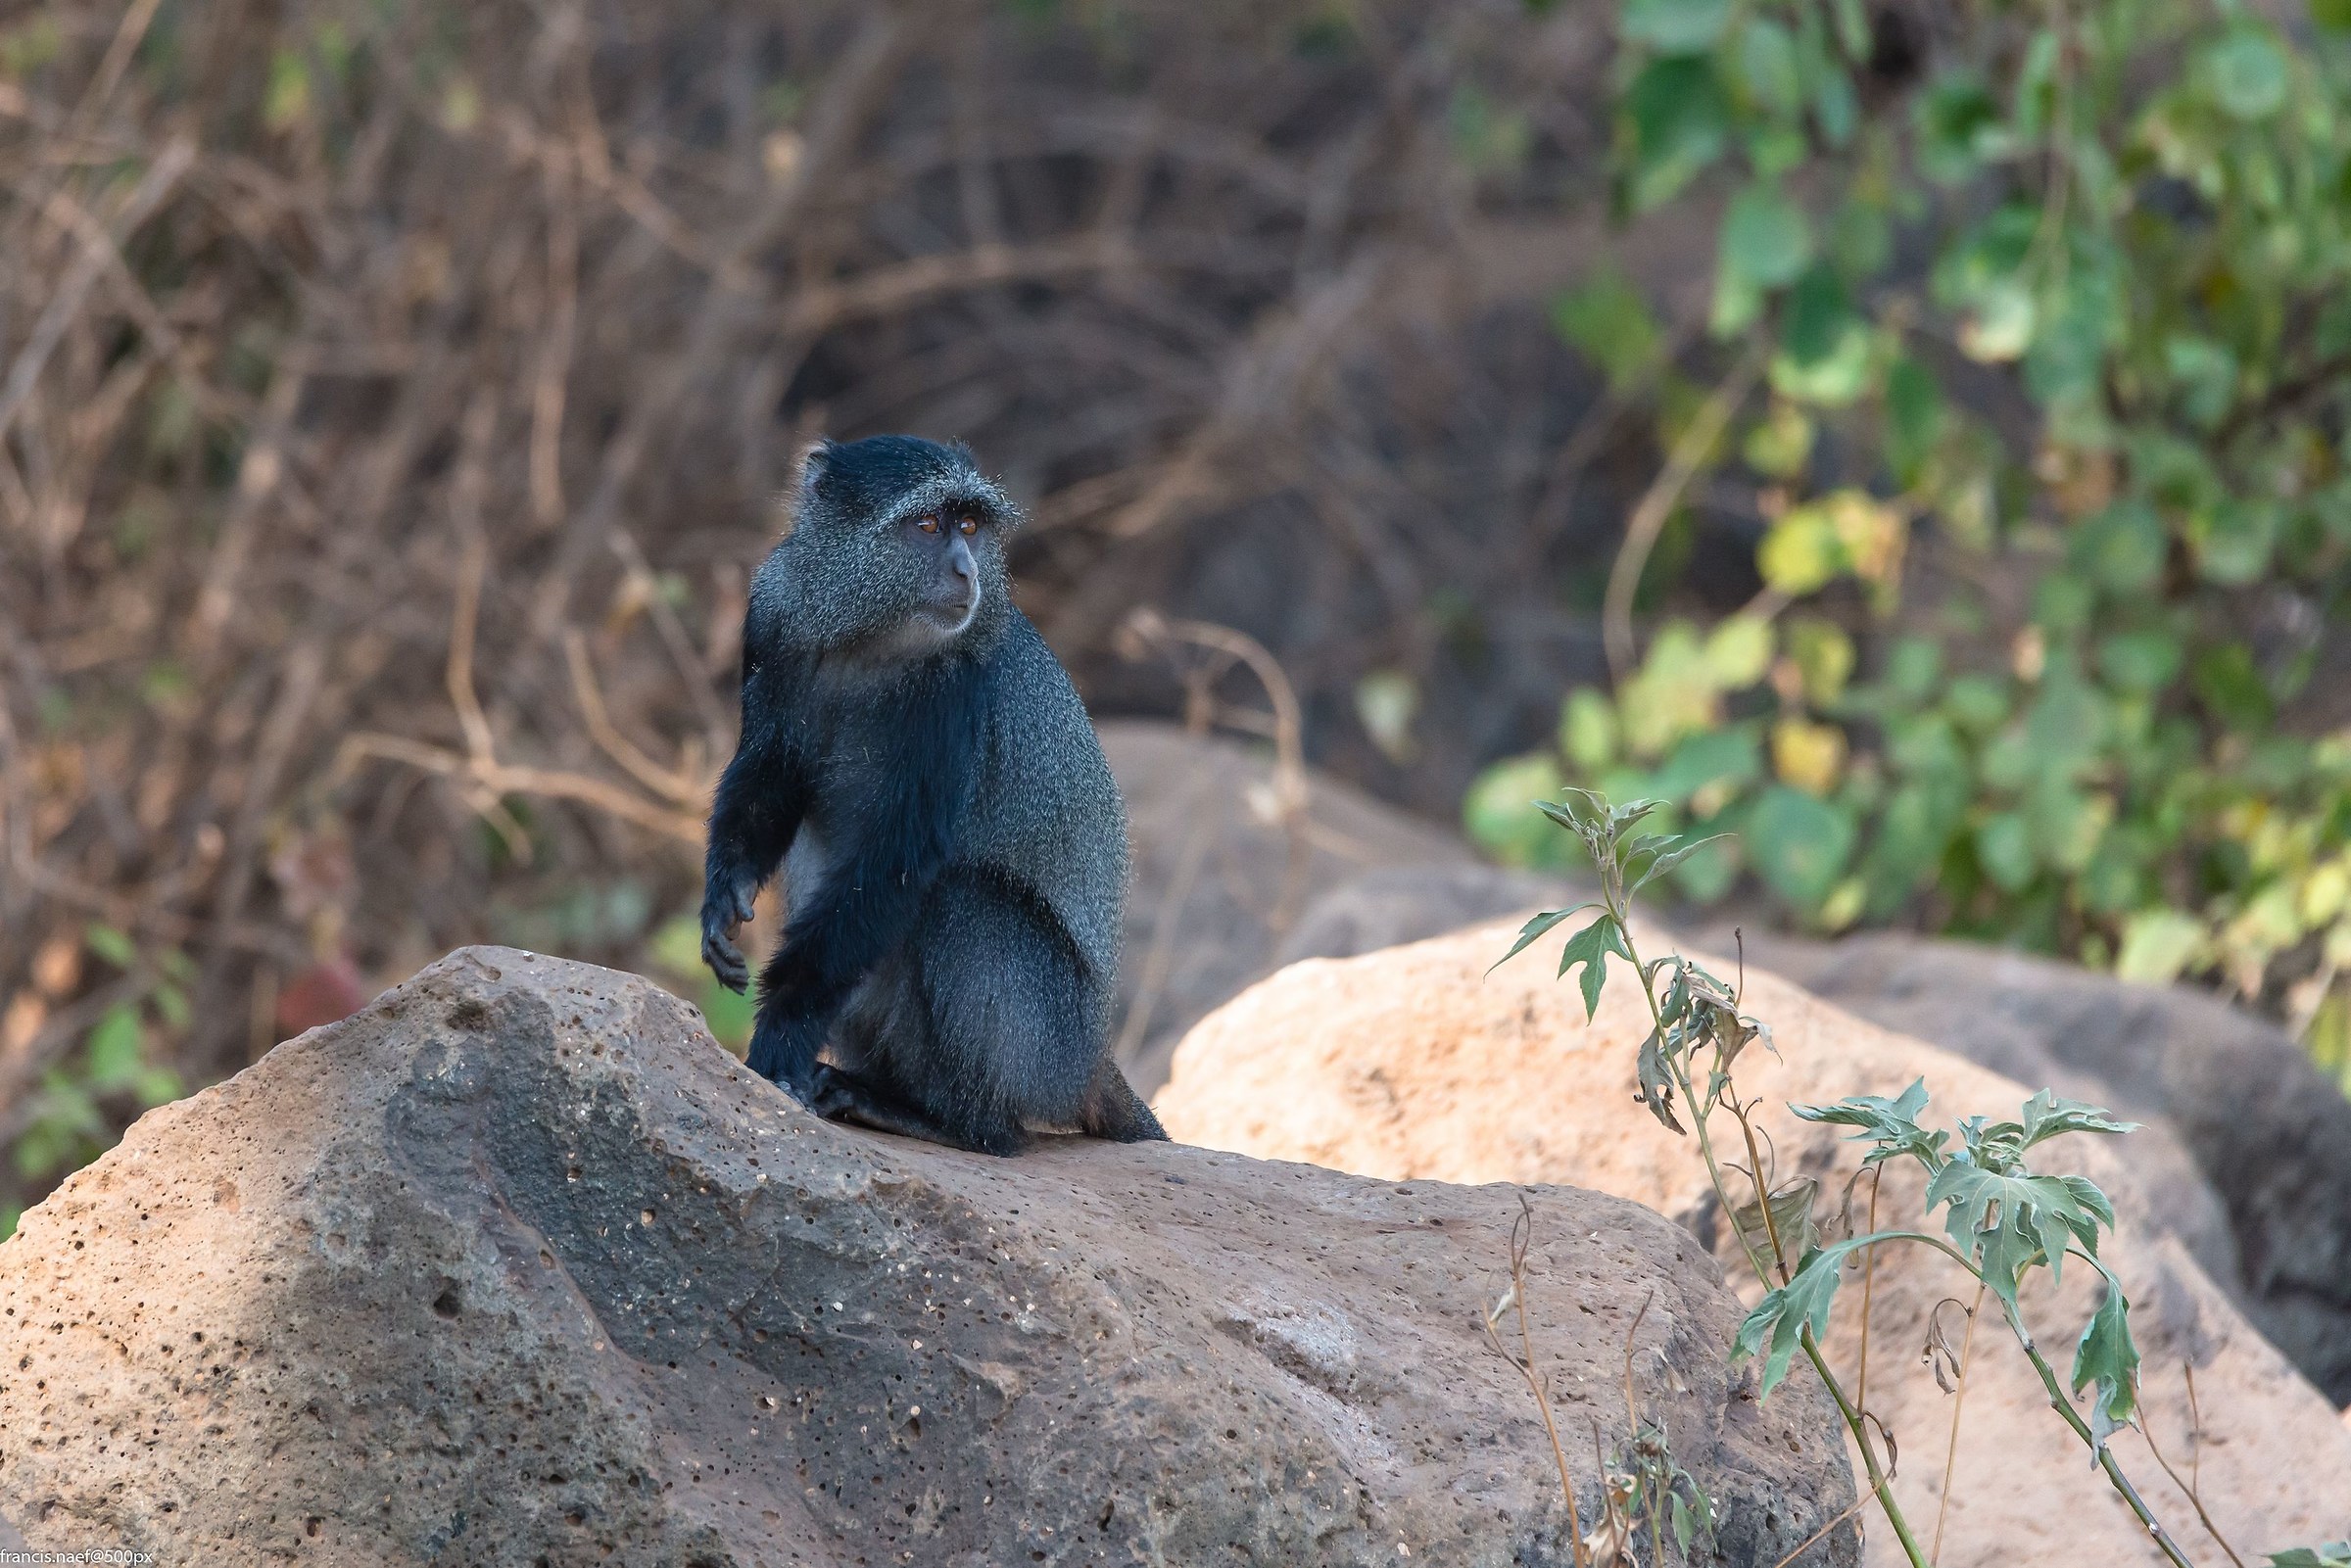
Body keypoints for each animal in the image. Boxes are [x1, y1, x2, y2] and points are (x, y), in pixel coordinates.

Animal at [699, 434, 1166, 1156]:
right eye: (927, 526)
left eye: (969, 526)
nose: (967, 573)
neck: (868, 635)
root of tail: (1092, 1060)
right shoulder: (772, 613)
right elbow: (770, 772)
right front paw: (723, 898)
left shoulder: (955, 691)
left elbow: (898, 859)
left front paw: (780, 1036)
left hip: (1044, 1041)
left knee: (961, 900)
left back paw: (951, 1121)